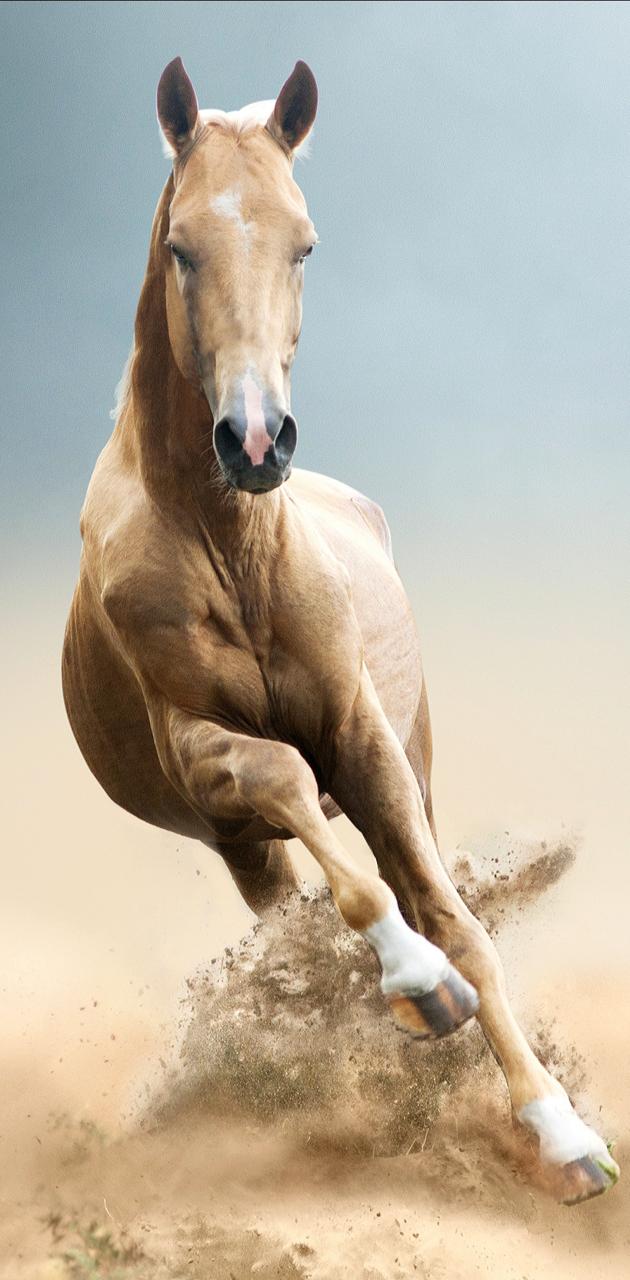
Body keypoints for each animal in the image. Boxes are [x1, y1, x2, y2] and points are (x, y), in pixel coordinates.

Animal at [62, 57, 618, 1205]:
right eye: (182, 245)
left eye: (304, 242)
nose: (254, 439)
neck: (230, 544)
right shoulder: (200, 751)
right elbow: (290, 788)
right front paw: (418, 986)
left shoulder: (366, 742)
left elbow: (456, 917)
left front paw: (564, 1135)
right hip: (238, 842)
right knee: (291, 887)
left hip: (408, 763)